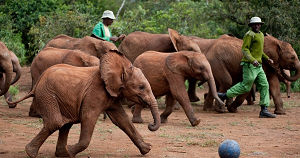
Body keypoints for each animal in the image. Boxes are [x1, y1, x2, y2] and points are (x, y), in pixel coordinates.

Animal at [7, 50, 162, 157]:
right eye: (141, 87)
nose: (150, 125)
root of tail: (37, 82)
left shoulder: (112, 95)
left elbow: (122, 121)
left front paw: (147, 149)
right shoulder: (95, 93)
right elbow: (88, 117)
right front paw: (71, 150)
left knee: (65, 124)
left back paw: (61, 154)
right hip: (47, 95)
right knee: (56, 122)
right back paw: (33, 153)